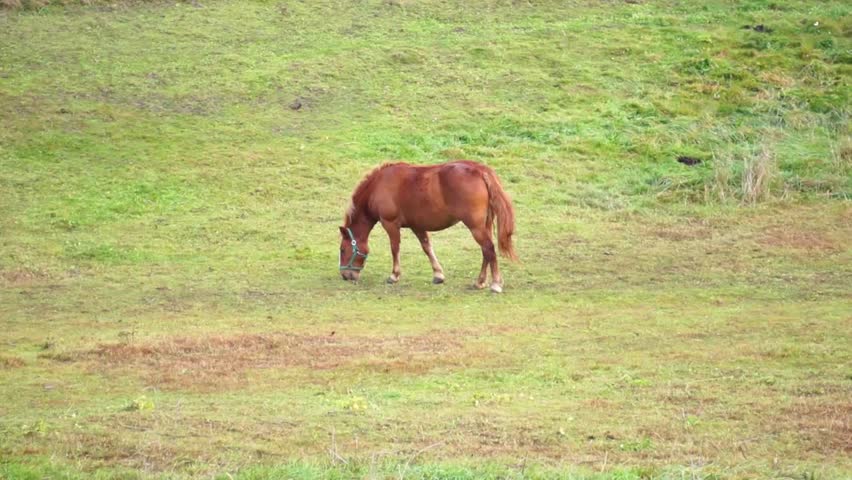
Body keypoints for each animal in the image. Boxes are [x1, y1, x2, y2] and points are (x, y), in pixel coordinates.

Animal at [338, 160, 517, 293]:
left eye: (342, 250)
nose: (345, 275)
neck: (379, 185)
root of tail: (480, 170)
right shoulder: (417, 225)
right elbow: (427, 247)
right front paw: (438, 274)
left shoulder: (390, 224)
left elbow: (395, 248)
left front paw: (394, 275)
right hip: (484, 225)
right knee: (486, 251)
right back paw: (480, 281)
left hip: (475, 227)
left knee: (489, 248)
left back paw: (495, 283)